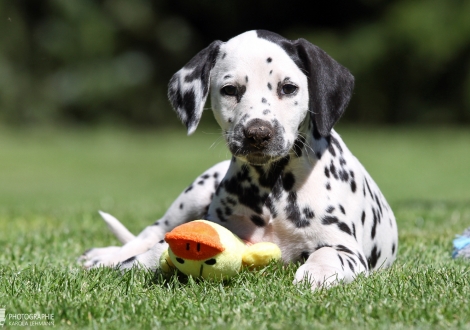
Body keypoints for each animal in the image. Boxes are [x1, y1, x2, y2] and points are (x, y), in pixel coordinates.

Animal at [81, 30, 396, 288]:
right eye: (230, 90)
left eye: (288, 87)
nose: (258, 133)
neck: (272, 185)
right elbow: (159, 247)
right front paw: (135, 263)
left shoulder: (346, 249)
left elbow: (328, 255)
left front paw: (316, 273)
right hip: (193, 195)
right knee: (151, 232)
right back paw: (104, 256)